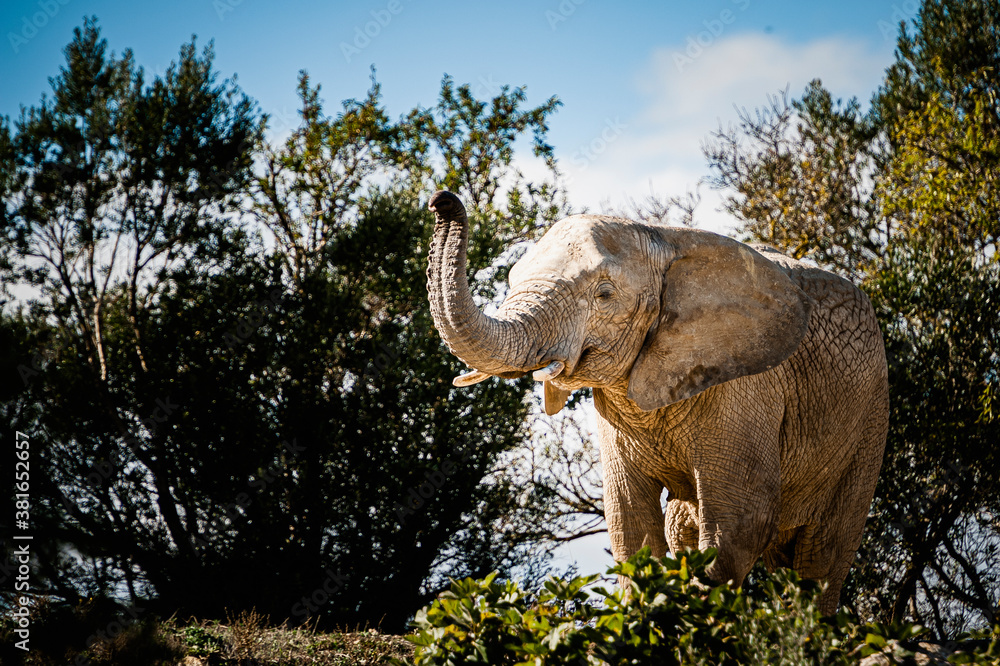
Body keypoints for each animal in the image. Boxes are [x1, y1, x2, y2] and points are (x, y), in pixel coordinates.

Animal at [425, 190, 888, 614]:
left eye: (605, 295)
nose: (442, 200)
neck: (664, 239)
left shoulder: (748, 386)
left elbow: (739, 523)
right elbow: (630, 521)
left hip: (870, 422)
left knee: (822, 556)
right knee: (694, 530)